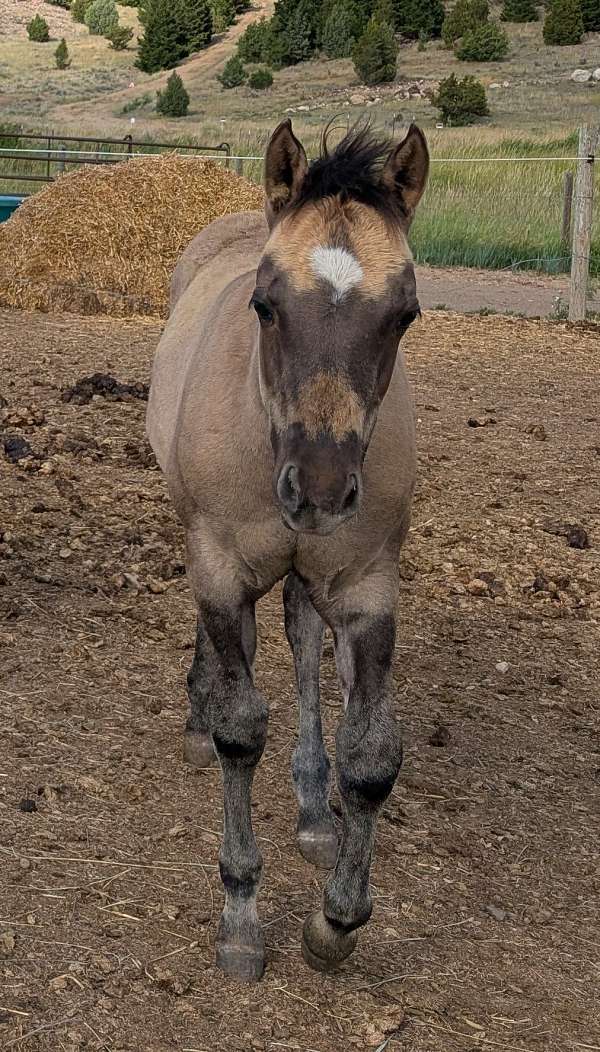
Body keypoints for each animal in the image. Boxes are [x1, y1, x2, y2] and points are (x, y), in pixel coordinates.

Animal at [146, 119, 429, 982]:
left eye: (404, 313)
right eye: (265, 305)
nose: (323, 490)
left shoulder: (367, 585)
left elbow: (371, 755)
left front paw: (336, 920)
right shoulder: (218, 565)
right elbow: (241, 727)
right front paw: (240, 917)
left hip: (313, 570)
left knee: (303, 641)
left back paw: (310, 804)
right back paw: (198, 717)